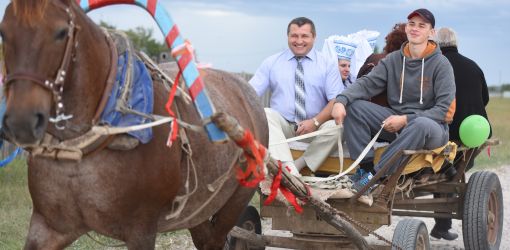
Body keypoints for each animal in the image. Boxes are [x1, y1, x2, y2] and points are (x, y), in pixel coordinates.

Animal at [0, 0, 268, 249]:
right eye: (3, 32)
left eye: (61, 32)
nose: (21, 121)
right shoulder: (47, 226)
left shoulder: (141, 230)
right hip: (198, 208)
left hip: (237, 197)